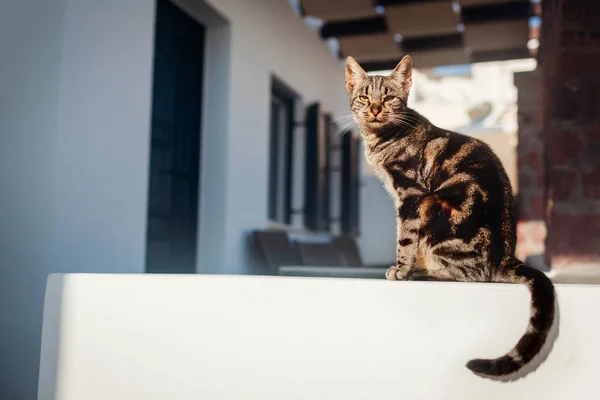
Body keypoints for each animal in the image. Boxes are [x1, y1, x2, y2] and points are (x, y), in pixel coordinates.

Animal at [344, 54, 556, 378]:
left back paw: (423, 272)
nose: (376, 109)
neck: (382, 140)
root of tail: (506, 258)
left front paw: (402, 270)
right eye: (365, 97)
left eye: (389, 97)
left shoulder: (411, 194)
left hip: (434, 206)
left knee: (472, 276)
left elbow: (405, 238)